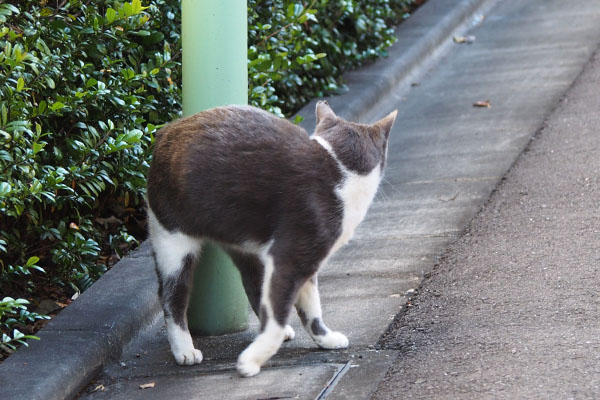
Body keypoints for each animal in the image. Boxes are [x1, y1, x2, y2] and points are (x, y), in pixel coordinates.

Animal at [147, 101, 396, 376]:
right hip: (171, 236)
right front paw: (251, 361)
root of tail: (167, 129)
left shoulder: (305, 260)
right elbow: (284, 309)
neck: (338, 168)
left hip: (244, 237)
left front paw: (325, 339)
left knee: (254, 282)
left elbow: (312, 307)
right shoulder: (292, 256)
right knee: (172, 294)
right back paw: (184, 349)